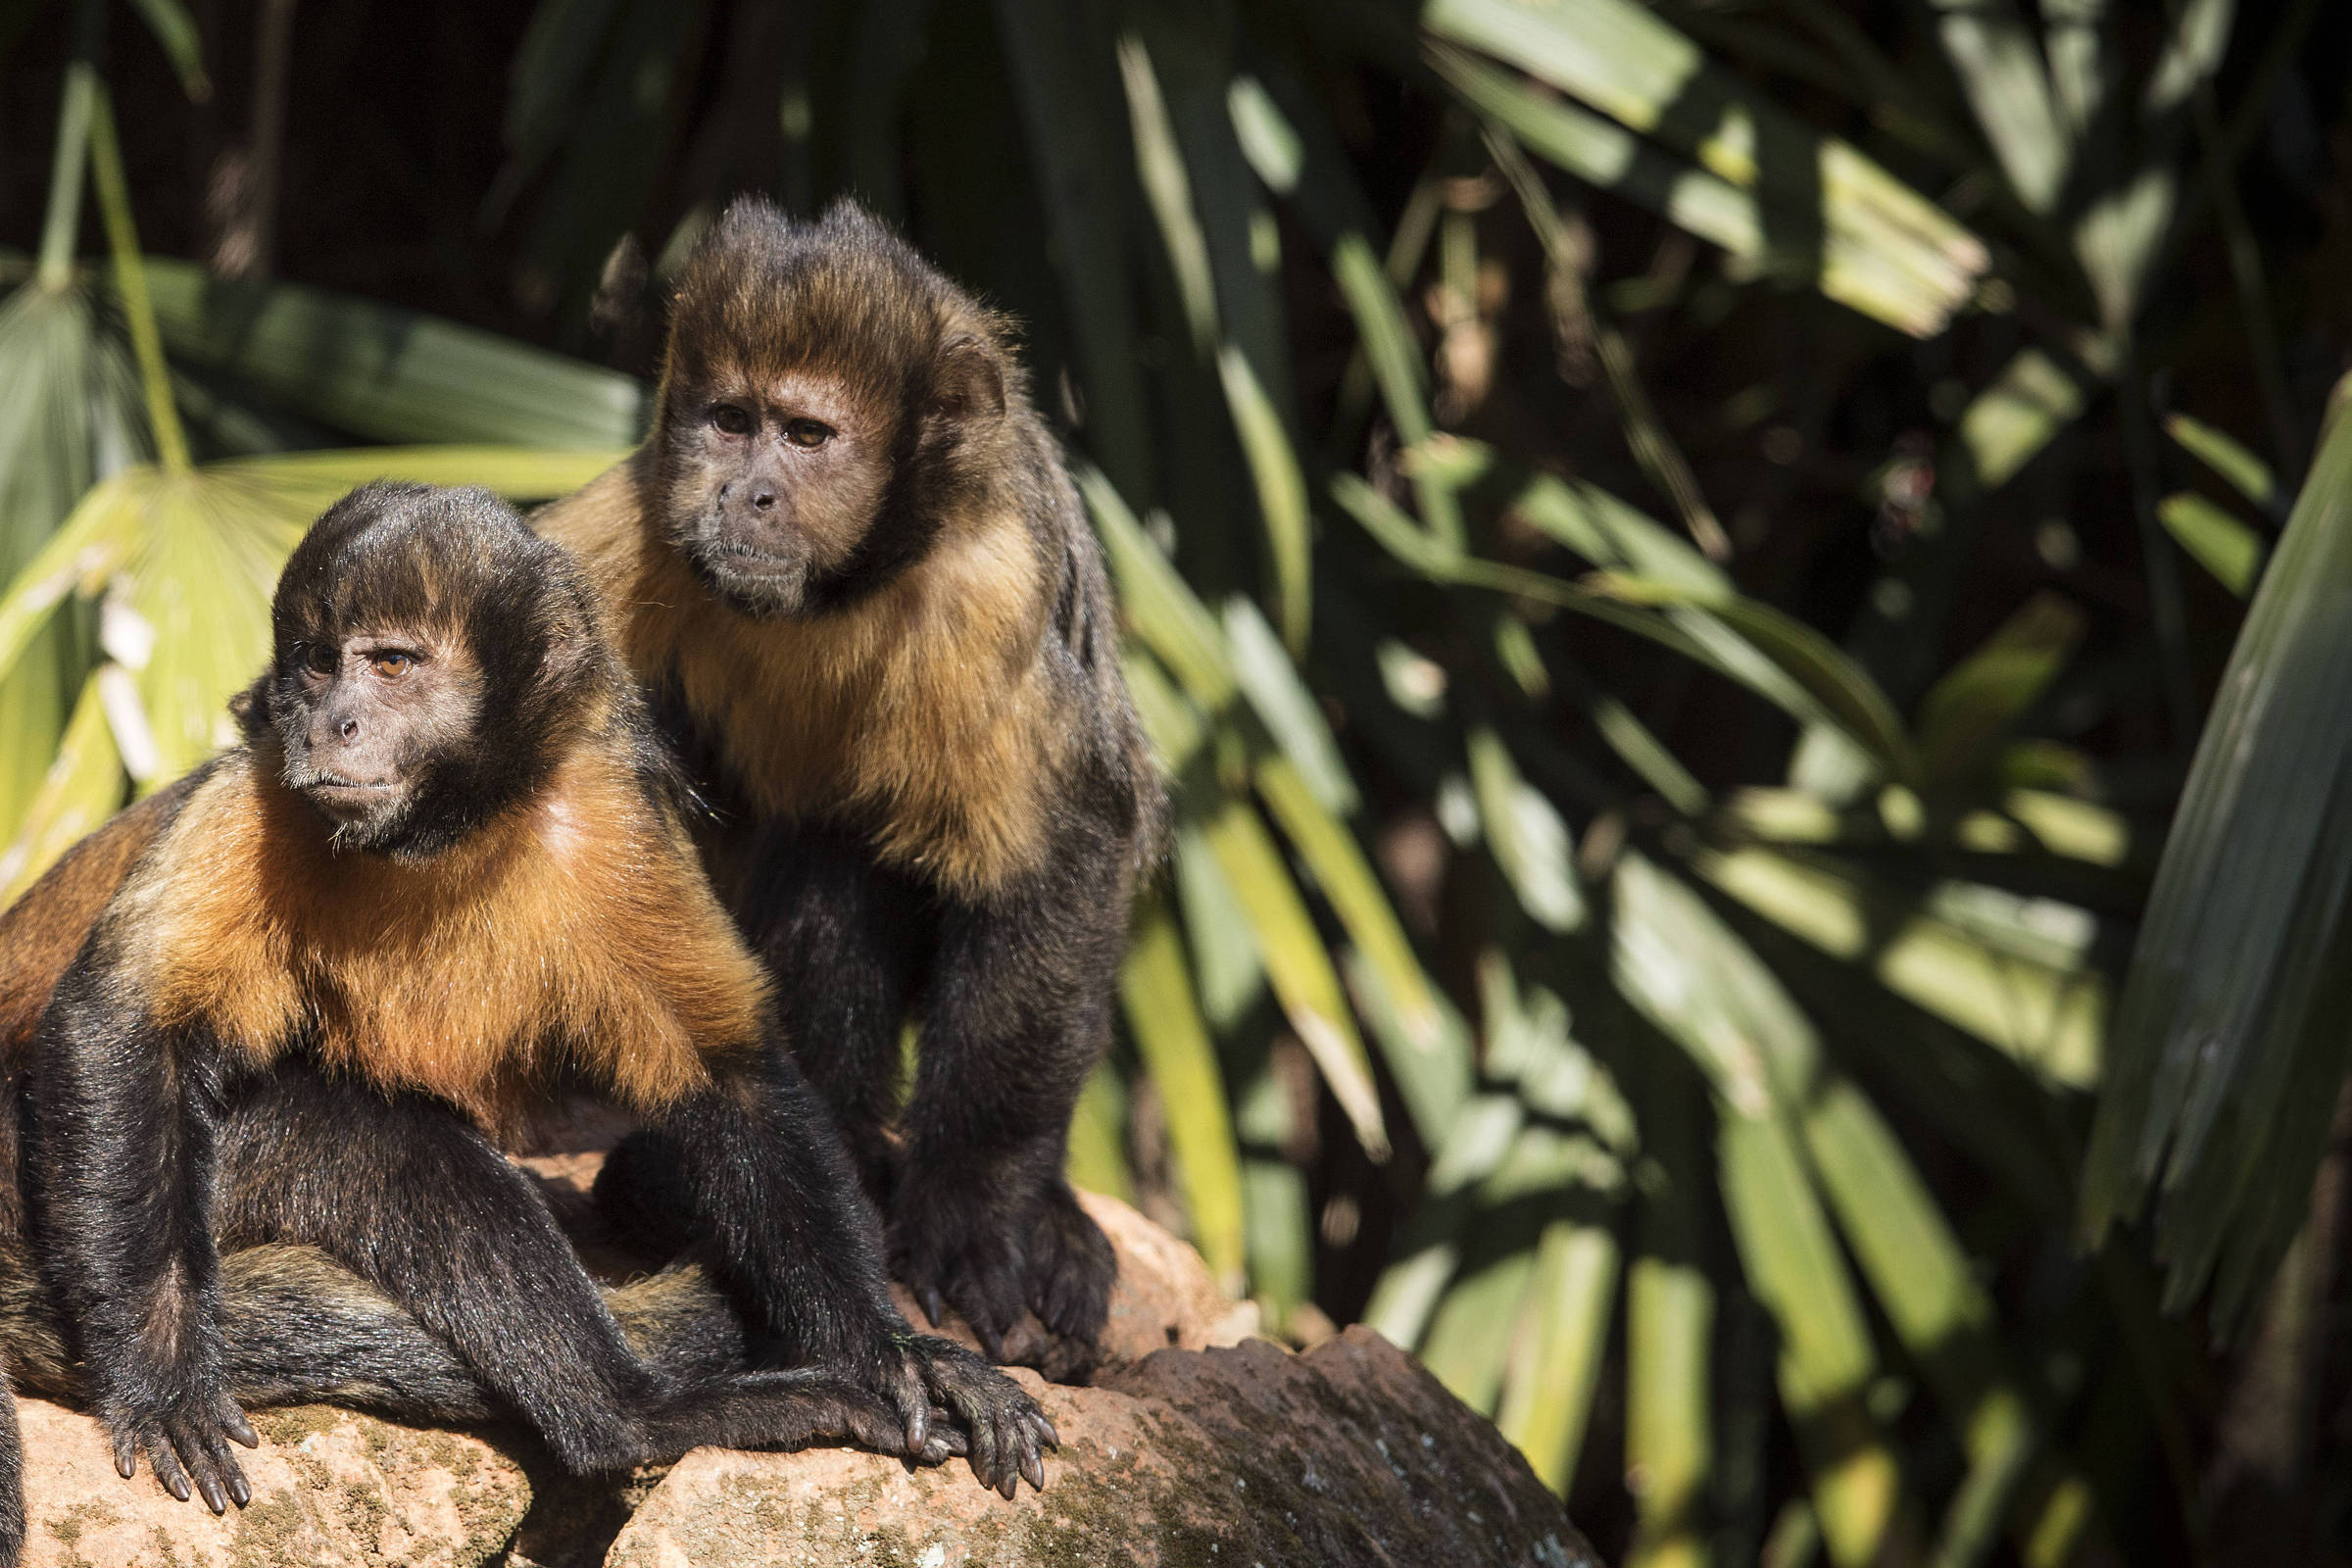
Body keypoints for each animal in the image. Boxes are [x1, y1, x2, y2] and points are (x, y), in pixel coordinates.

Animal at [0, 481, 1054, 1523]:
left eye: (389, 665)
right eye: (315, 667)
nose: (329, 723)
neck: (439, 837)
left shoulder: (610, 812)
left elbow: (728, 1075)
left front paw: (894, 1354)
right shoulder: (265, 788)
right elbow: (121, 1032)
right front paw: (164, 1379)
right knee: (366, 1137)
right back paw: (638, 1418)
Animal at [529, 199, 1161, 1363]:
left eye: (808, 437)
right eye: (732, 421)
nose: (747, 492)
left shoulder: (990, 585)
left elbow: (1064, 859)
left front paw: (972, 1212)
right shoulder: (645, 520)